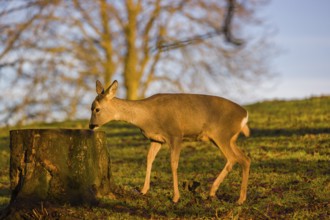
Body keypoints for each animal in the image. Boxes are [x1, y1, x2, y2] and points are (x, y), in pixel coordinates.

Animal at [89, 80, 250, 204]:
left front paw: (176, 197)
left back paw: (223, 195)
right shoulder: (156, 139)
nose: (90, 125)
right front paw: (143, 190)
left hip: (222, 135)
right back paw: (235, 197)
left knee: (233, 158)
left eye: (97, 109)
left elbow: (173, 164)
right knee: (245, 159)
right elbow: (149, 159)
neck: (147, 116)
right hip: (228, 138)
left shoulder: (175, 134)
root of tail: (245, 115)